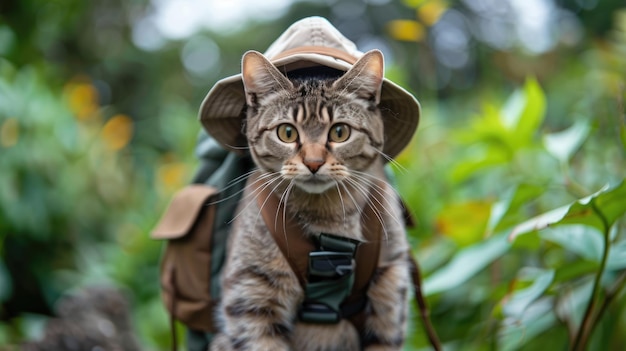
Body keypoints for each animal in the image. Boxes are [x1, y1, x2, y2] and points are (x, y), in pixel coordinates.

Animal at [211, 49, 410, 351]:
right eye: (287, 132)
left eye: (340, 132)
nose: (314, 163)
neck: (328, 217)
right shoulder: (250, 299)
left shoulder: (391, 291)